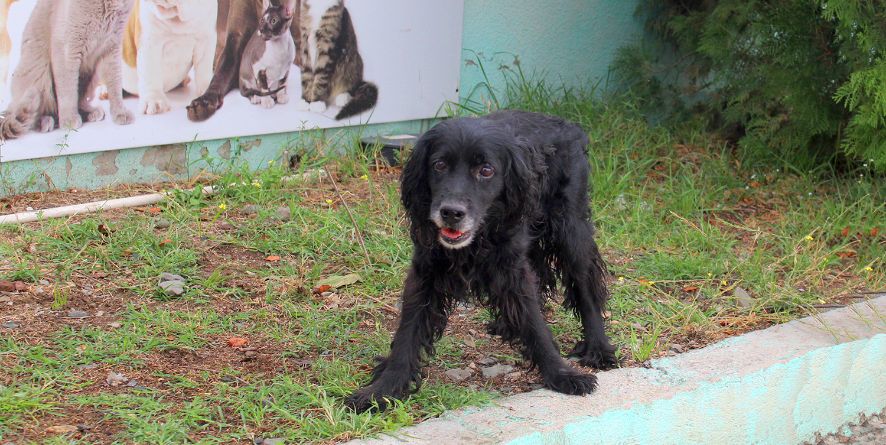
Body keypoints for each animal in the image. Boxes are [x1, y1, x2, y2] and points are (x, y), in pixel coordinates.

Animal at [0, 0, 135, 139]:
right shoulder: (68, 49)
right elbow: (68, 92)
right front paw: (69, 121)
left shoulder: (112, 47)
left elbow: (115, 85)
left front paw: (120, 112)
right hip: (40, 72)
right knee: (33, 113)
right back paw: (45, 121)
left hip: (92, 77)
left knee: (78, 100)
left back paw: (90, 113)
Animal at [346, 110, 616, 410]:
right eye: (439, 165)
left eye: (486, 170)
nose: (451, 213)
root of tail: (569, 125)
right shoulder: (425, 270)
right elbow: (408, 330)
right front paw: (383, 388)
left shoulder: (512, 265)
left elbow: (535, 321)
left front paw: (561, 373)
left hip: (571, 229)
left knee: (586, 288)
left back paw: (598, 348)